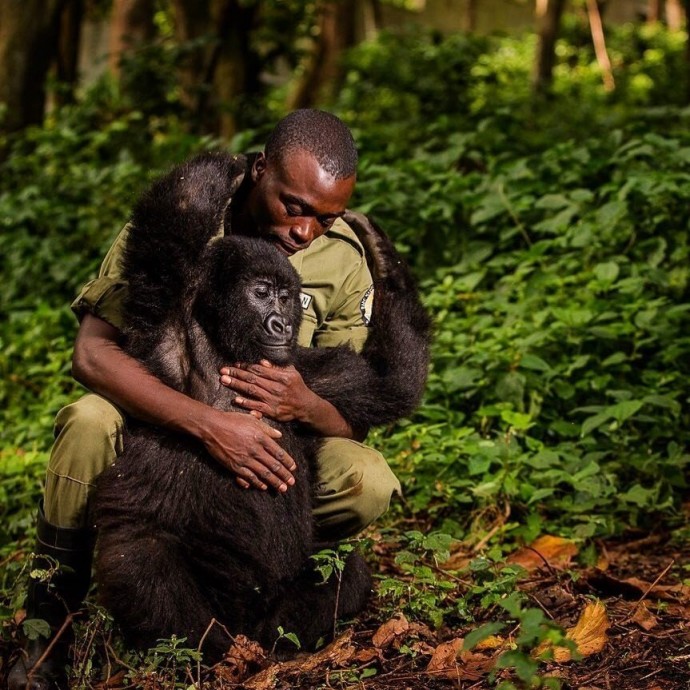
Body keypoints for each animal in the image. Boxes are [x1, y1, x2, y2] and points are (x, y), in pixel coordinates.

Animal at [91, 149, 430, 656]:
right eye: (261, 292)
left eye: (288, 297)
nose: (281, 324)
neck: (228, 346)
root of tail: (246, 627)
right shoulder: (165, 334)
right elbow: (170, 234)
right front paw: (228, 166)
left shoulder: (308, 371)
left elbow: (388, 384)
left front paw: (383, 255)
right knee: (139, 558)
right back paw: (213, 651)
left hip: (274, 608)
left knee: (345, 570)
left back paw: (284, 645)